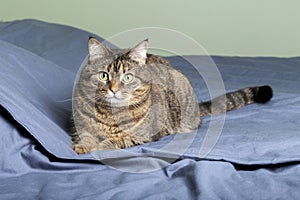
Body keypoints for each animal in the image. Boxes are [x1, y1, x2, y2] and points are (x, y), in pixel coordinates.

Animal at [70, 37, 272, 155]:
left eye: (127, 77)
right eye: (104, 76)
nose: (113, 89)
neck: (110, 116)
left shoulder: (141, 136)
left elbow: (113, 142)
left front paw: (96, 147)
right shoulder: (79, 126)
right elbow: (85, 136)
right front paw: (82, 146)